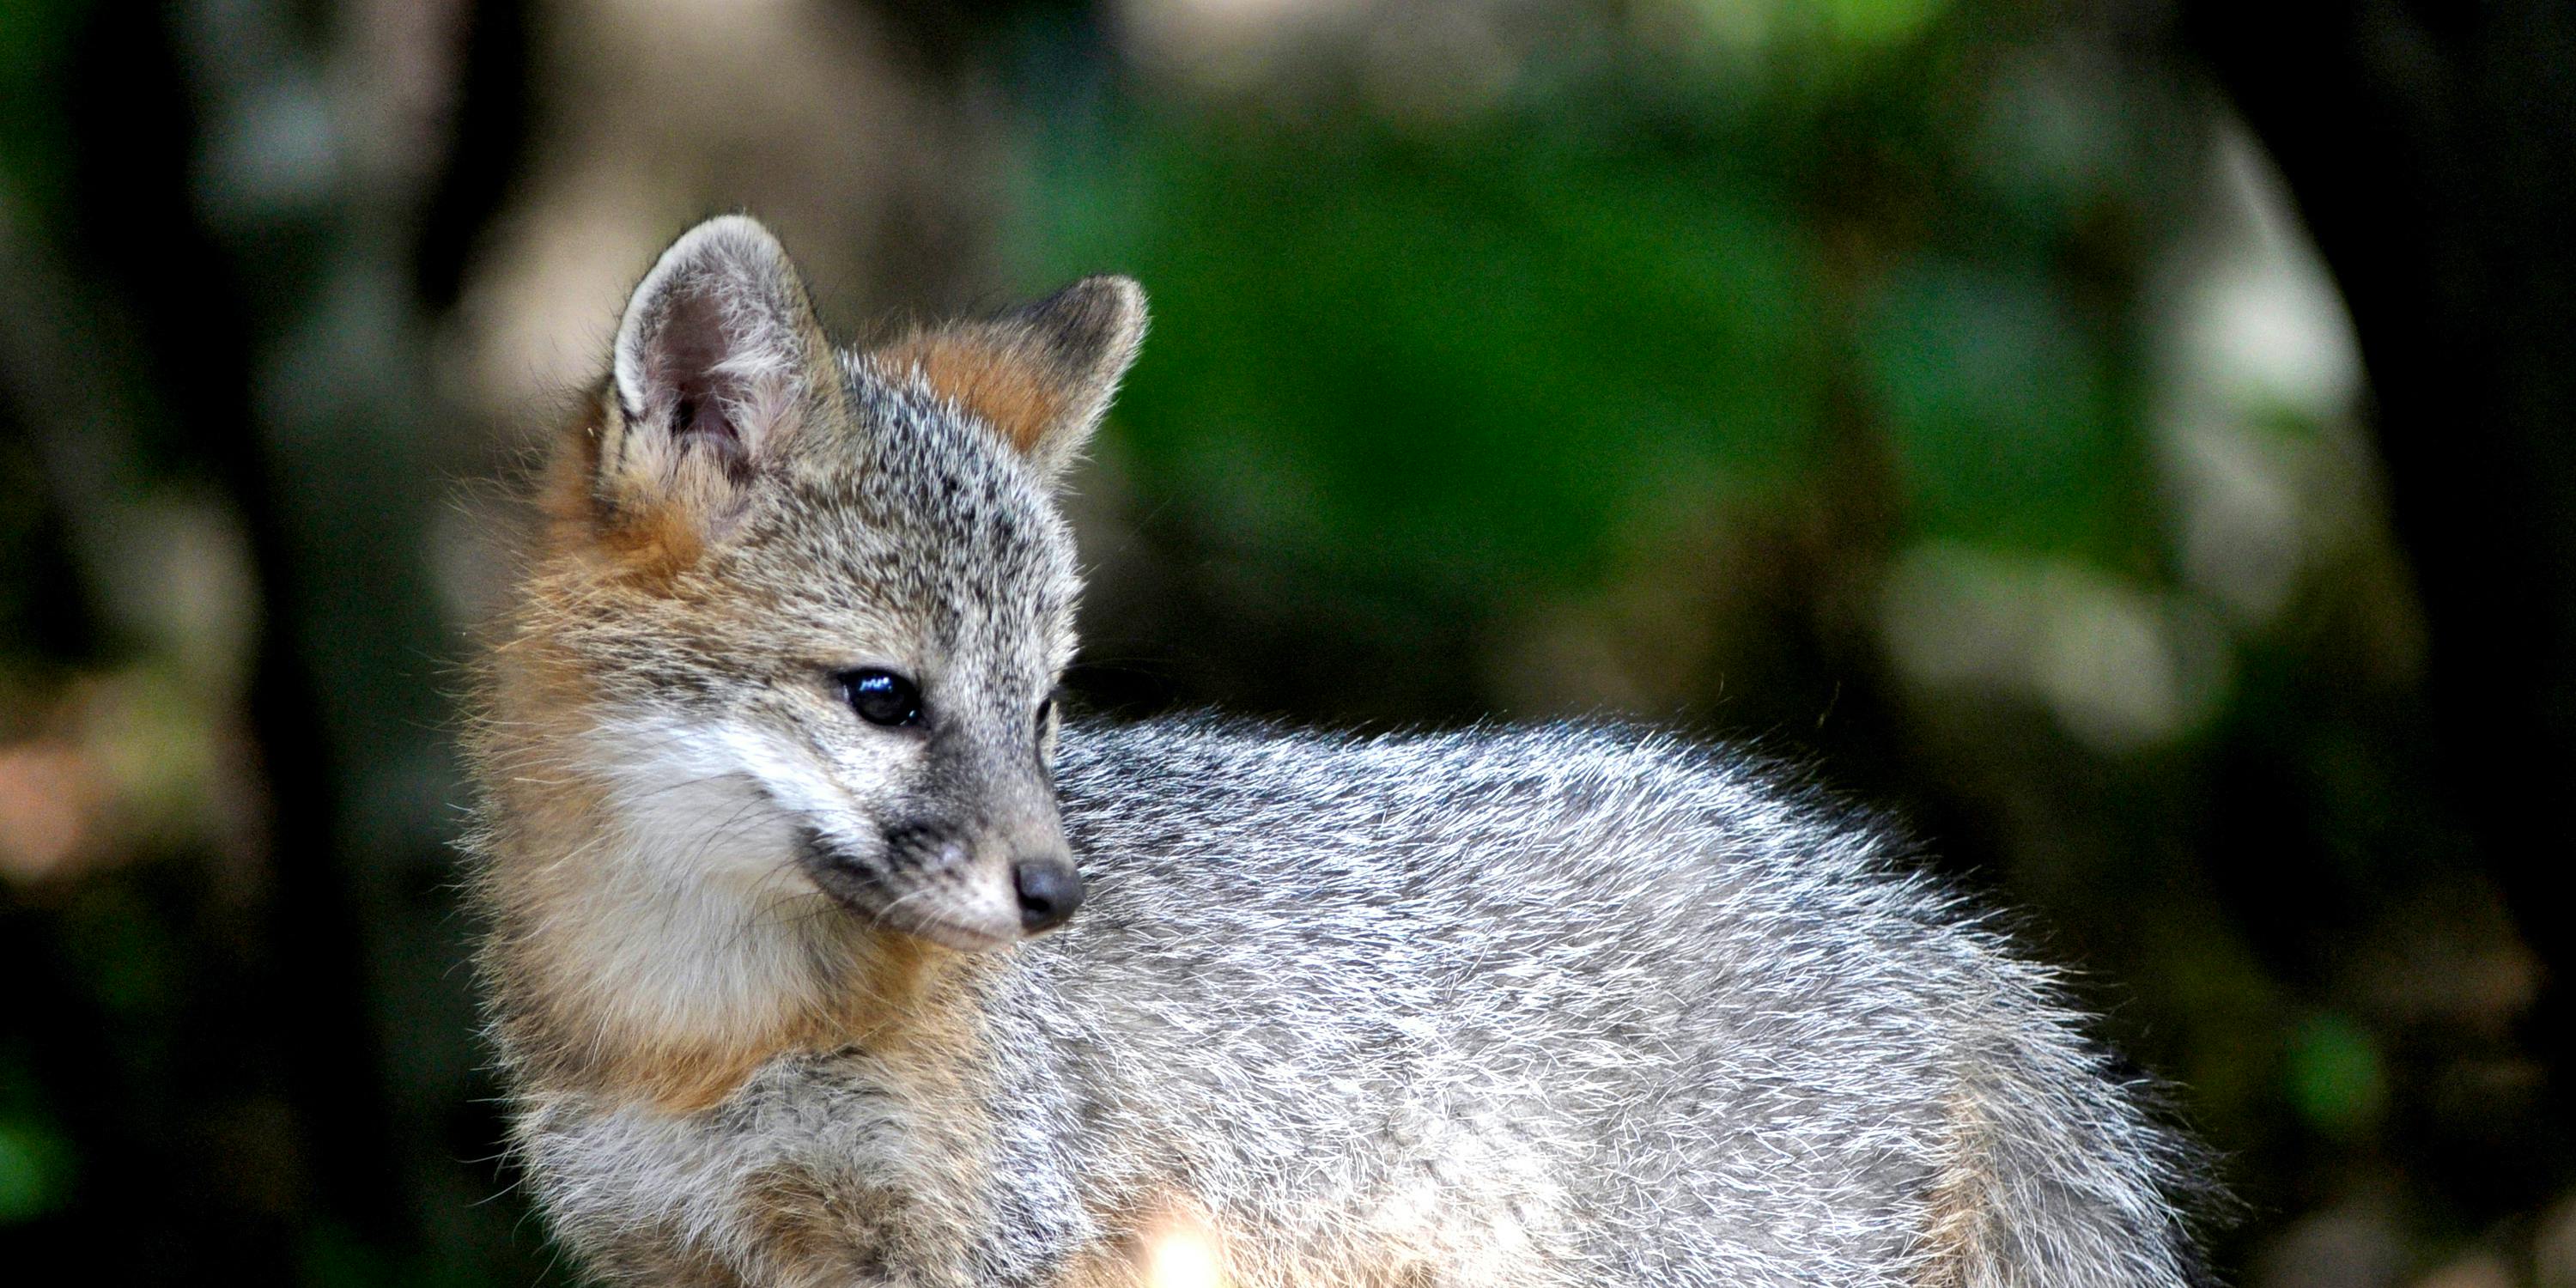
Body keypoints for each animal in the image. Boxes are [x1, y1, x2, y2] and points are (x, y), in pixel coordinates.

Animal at [463, 214, 2217, 1288]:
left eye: (1046, 706)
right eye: (885, 697)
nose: (1059, 895)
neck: (697, 1030)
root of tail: (1936, 933)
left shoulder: (1003, 1241)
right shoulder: (663, 1252)